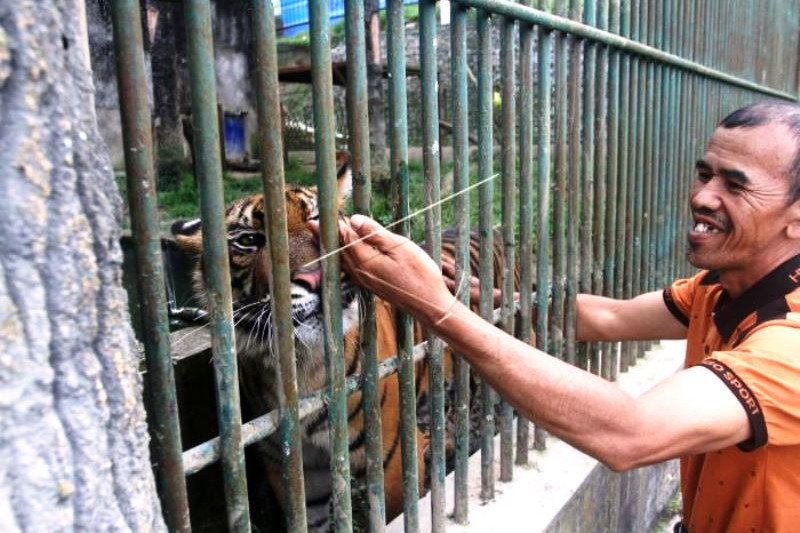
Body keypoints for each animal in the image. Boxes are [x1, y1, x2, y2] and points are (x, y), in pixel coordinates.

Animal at [172, 156, 528, 528]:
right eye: (249, 240)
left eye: (318, 221)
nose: (315, 278)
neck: (305, 365)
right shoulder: (296, 471)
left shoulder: (392, 460)